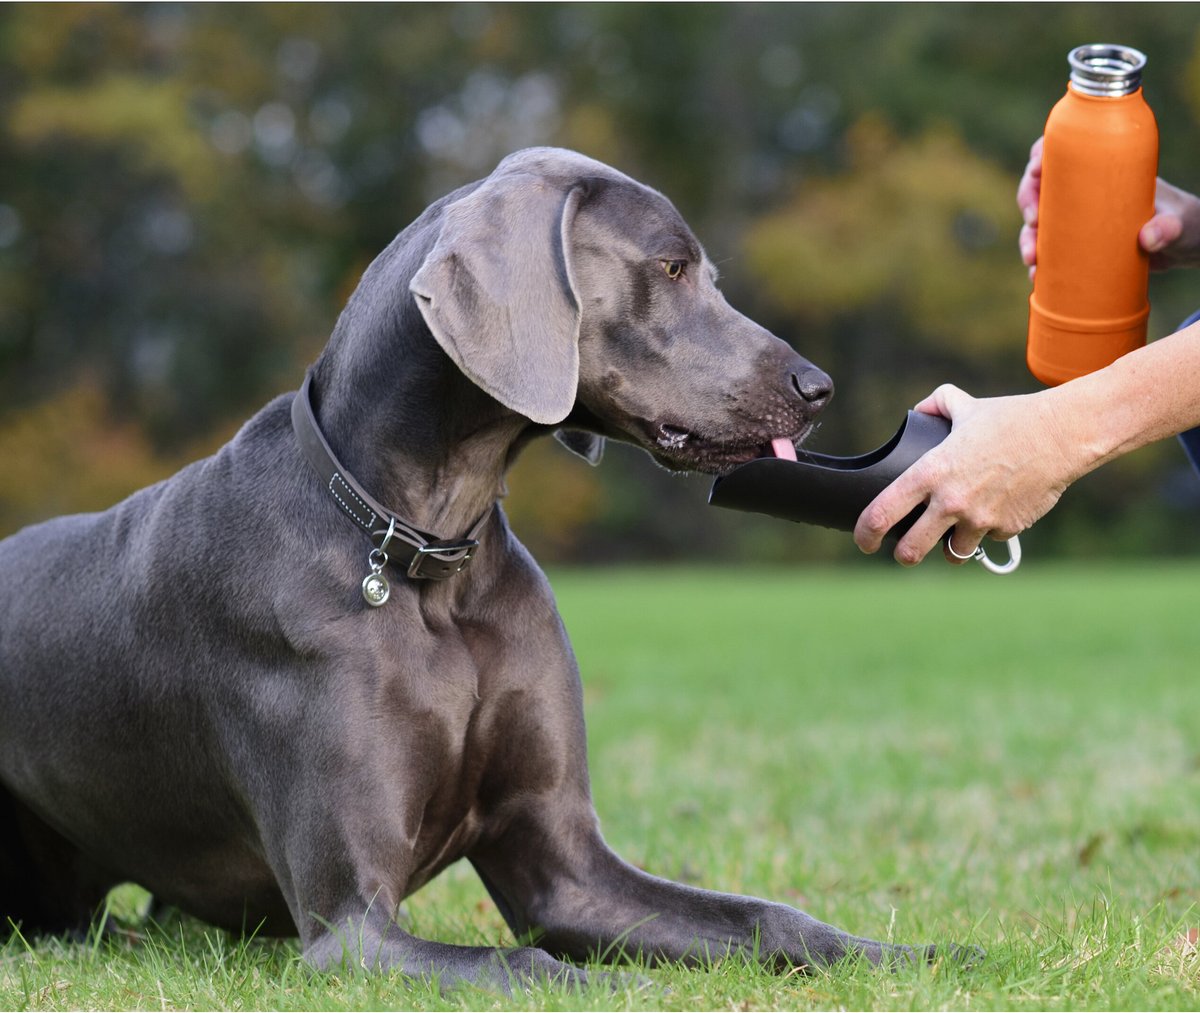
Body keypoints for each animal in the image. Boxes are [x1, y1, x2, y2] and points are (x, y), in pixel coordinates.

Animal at [0, 150, 916, 988]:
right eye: (670, 267)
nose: (817, 386)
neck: (428, 558)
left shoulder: (566, 866)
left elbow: (768, 916)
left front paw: (907, 953)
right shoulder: (351, 927)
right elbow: (535, 965)